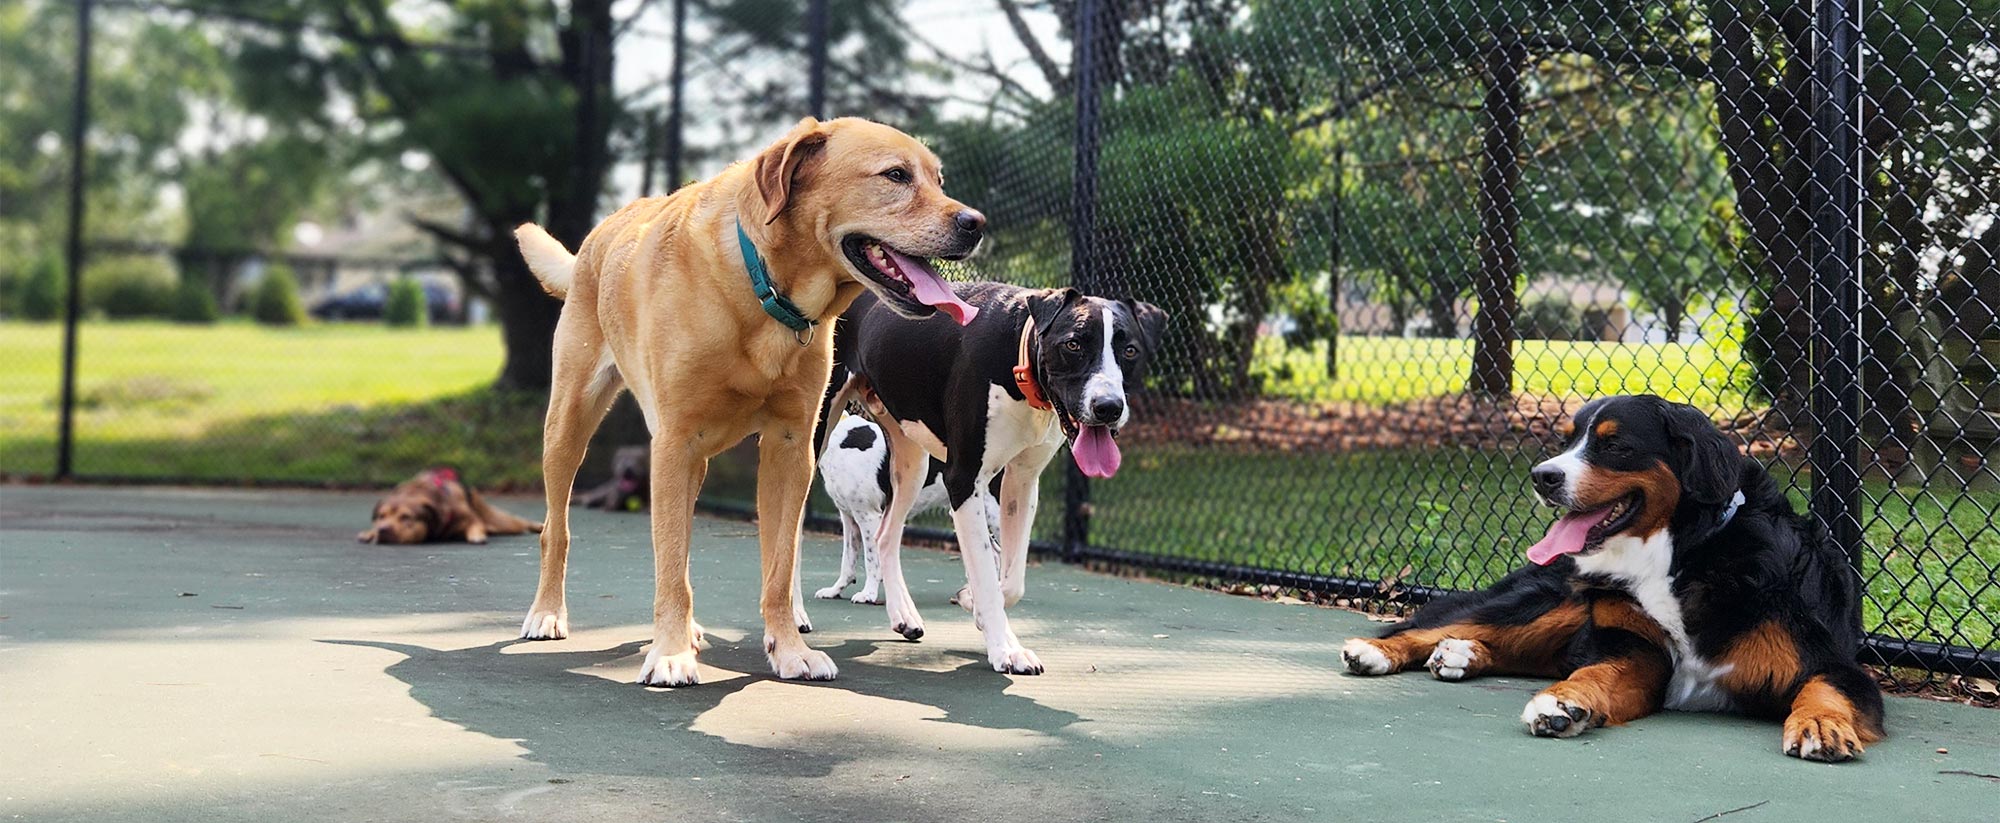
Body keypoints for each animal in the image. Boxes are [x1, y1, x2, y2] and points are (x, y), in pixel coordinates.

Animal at [352, 469, 540, 547]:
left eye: (406, 517)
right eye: (381, 516)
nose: (383, 529)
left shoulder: (471, 517)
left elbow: (476, 524)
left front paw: (477, 535)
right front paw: (371, 532)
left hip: (499, 519)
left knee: (519, 521)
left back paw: (537, 526)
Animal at [816, 285, 1168, 671]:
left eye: (1130, 350)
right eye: (1073, 344)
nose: (1108, 407)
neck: (1017, 356)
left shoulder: (1021, 484)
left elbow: (1011, 581)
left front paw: (976, 606)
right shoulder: (964, 481)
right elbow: (986, 574)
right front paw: (1005, 649)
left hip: (912, 463)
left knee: (884, 537)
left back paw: (904, 616)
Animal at [1336, 395, 1880, 763]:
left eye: (1614, 444)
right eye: (1567, 440)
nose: (1542, 476)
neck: (1680, 557)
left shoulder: (1831, 662)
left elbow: (1825, 689)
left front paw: (1820, 725)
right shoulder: (1635, 650)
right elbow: (1595, 673)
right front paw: (1564, 702)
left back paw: (1461, 655)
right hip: (1546, 602)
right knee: (1439, 624)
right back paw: (1379, 650)